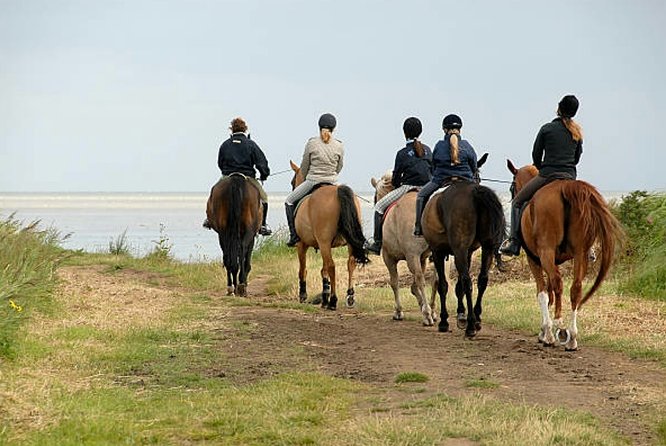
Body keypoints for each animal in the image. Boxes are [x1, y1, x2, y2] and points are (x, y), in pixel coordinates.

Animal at [286, 160, 368, 310]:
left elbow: (303, 269)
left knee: (332, 266)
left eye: (292, 182)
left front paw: (303, 295)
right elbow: (323, 271)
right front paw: (324, 296)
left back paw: (333, 301)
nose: (293, 187)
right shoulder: (323, 245)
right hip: (345, 243)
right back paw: (350, 296)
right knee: (350, 263)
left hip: (323, 243)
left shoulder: (302, 245)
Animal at [368, 172, 440, 326]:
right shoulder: (422, 258)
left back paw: (427, 315)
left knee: (421, 279)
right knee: (435, 279)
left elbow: (394, 282)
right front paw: (422, 304)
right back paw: (432, 311)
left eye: (375, 196)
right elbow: (414, 287)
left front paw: (399, 311)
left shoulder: (389, 258)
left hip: (411, 256)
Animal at [420, 172, 504, 336]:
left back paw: (471, 326)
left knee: (467, 281)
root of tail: (474, 192)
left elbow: (443, 285)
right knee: (482, 279)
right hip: (486, 248)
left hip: (457, 250)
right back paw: (476, 319)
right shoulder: (467, 253)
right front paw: (461, 315)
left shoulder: (438, 252)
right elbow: (458, 286)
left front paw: (444, 321)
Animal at [504, 160, 624, 352]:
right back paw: (572, 337)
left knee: (558, 285)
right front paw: (546, 331)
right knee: (575, 288)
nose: (513, 194)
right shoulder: (554, 261)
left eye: (512, 186)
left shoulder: (535, 260)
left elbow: (543, 293)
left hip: (546, 252)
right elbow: (551, 293)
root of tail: (566, 187)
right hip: (580, 254)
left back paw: (558, 327)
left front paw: (546, 332)